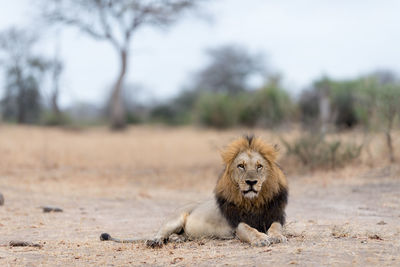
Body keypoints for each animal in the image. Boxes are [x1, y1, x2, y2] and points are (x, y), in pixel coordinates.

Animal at [100, 137, 288, 248]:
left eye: (259, 166)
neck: (254, 201)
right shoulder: (237, 225)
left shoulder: (275, 217)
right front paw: (261, 238)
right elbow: (250, 230)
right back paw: (156, 241)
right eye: (241, 166)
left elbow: (275, 228)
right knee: (160, 233)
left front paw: (277, 236)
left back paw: (177, 239)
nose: (251, 182)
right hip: (175, 218)